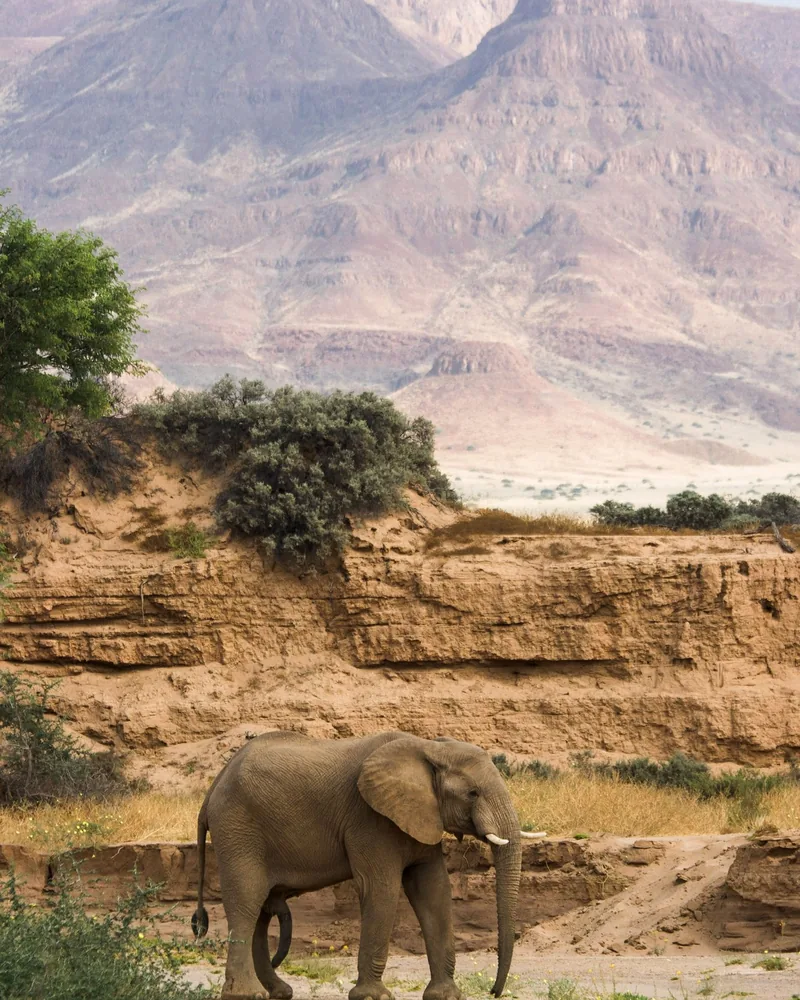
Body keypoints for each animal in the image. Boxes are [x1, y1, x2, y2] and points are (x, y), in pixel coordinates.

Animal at [193, 730, 543, 1000]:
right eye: (473, 793)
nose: (494, 991)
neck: (429, 747)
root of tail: (213, 786)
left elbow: (433, 891)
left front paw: (446, 996)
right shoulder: (369, 818)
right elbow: (381, 889)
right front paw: (374, 997)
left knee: (262, 912)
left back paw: (279, 992)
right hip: (238, 829)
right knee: (247, 902)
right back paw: (247, 994)